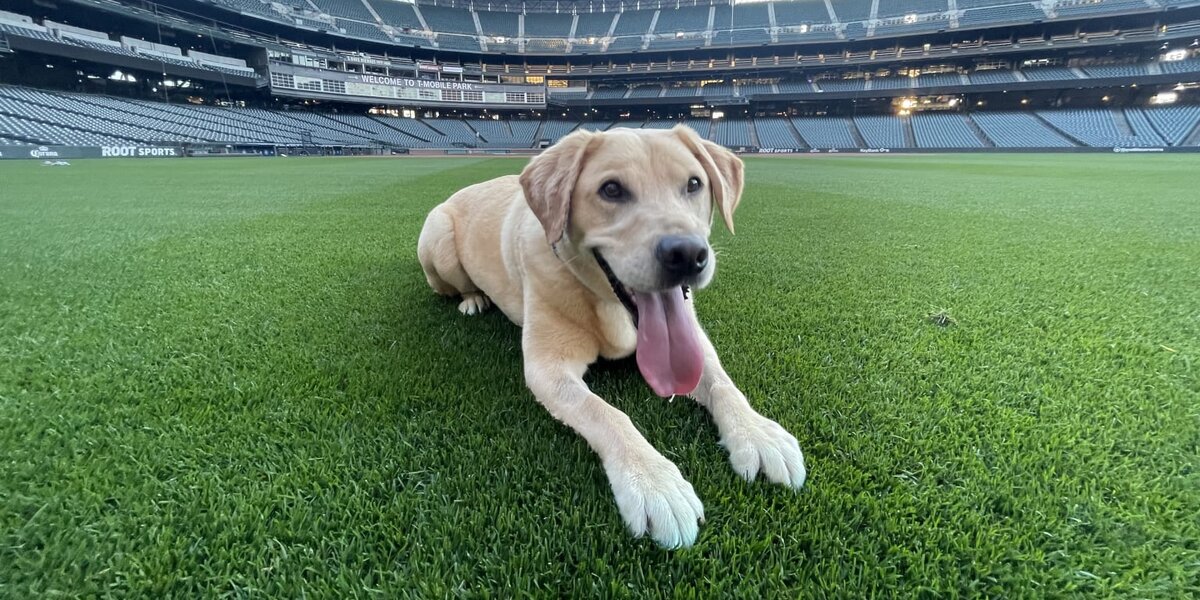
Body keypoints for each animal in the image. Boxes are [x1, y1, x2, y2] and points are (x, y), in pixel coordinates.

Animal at [417, 126, 801, 549]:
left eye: (694, 184)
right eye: (612, 189)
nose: (687, 254)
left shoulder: (694, 339)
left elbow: (722, 383)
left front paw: (757, 433)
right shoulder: (547, 368)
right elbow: (607, 414)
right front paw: (654, 483)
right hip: (436, 239)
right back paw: (473, 299)